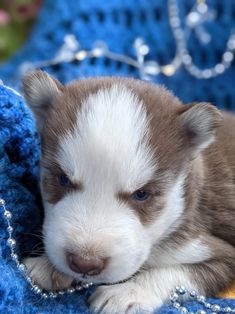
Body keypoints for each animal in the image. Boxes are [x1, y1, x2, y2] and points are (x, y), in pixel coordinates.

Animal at [22, 71, 235, 314]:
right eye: (63, 179)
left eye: (141, 194)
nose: (85, 262)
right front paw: (47, 265)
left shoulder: (221, 253)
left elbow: (174, 273)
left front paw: (129, 291)